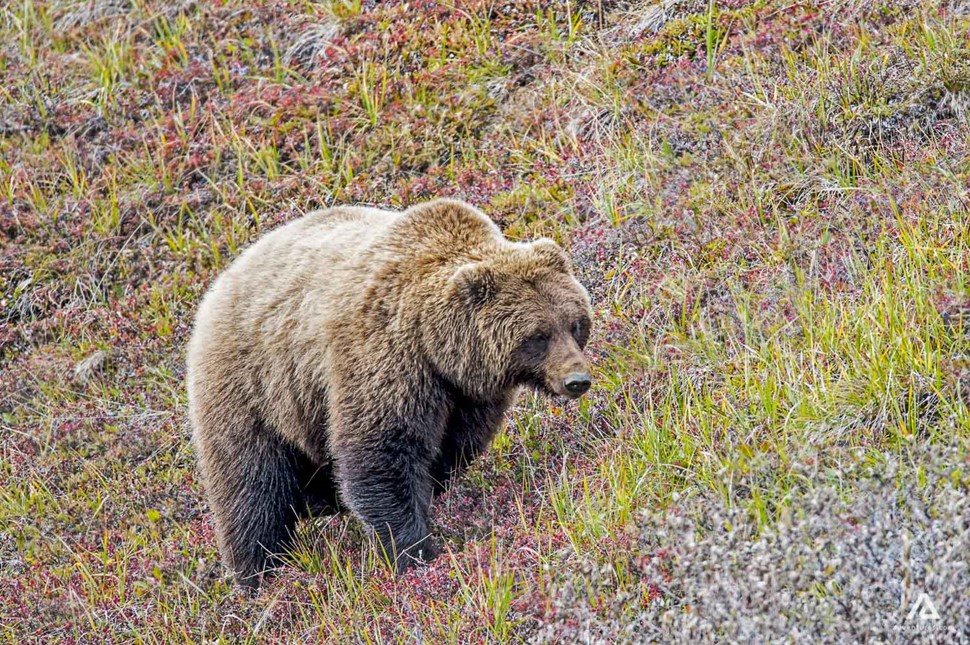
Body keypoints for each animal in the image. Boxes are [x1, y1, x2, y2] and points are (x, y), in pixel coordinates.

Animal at [182, 199, 588, 588]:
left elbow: (455, 446)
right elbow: (381, 454)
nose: (577, 379)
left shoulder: (468, 395)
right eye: (538, 335)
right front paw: (415, 552)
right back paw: (259, 574)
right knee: (251, 489)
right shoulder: (384, 358)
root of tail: (222, 279)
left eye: (575, 324)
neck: (437, 349)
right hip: (251, 389)